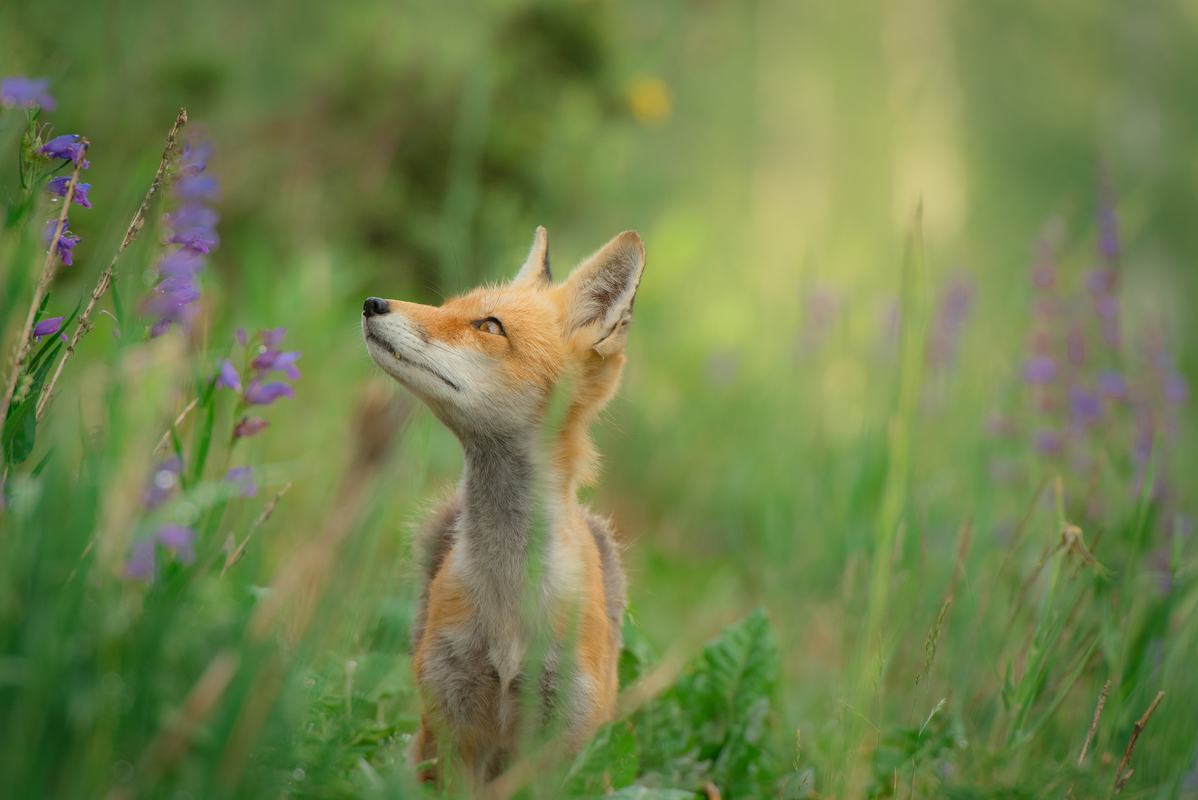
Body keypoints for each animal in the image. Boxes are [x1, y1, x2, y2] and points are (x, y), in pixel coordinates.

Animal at [361, 227, 645, 786]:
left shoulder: (559, 741)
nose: (372, 303)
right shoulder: (451, 726)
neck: (509, 601)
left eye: (489, 326)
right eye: (447, 306)